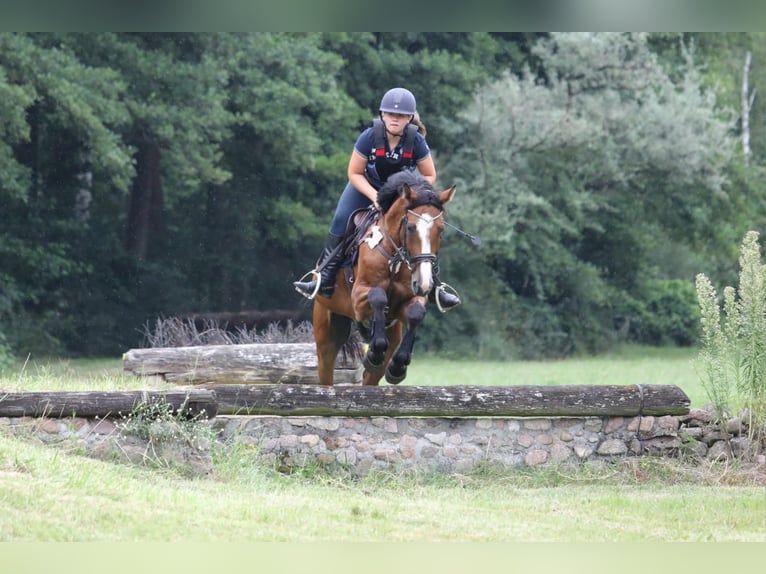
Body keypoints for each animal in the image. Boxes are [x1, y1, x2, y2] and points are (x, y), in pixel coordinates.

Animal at [312, 171, 456, 388]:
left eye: (440, 230)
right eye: (410, 228)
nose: (424, 283)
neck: (394, 259)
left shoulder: (408, 300)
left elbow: (416, 313)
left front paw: (397, 366)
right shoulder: (358, 298)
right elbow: (378, 296)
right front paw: (376, 350)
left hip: (390, 332)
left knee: (372, 376)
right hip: (326, 332)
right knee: (326, 369)